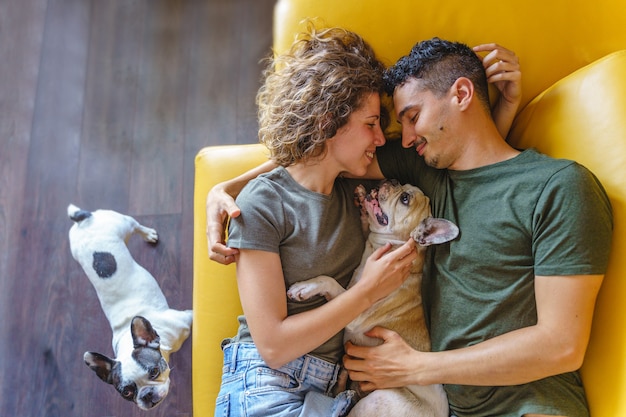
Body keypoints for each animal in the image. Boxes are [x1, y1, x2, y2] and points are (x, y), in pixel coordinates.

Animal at [67, 203, 191, 408]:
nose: (146, 394)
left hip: (123, 224)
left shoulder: (187, 317)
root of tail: (83, 219)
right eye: (126, 392)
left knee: (136, 226)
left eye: (154, 371)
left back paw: (149, 234)